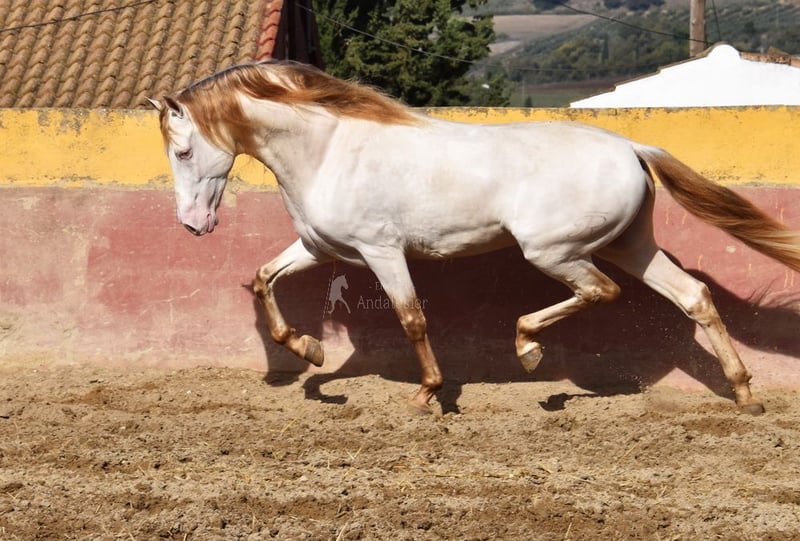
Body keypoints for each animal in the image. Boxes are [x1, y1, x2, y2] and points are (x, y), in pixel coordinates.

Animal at [150, 60, 800, 415]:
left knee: (602, 294)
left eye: (182, 151)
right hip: (630, 245)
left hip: (555, 251)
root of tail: (631, 147)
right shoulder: (321, 248)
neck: (332, 148)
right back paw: (746, 395)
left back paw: (529, 349)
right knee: (694, 297)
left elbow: (411, 318)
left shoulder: (381, 250)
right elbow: (264, 279)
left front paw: (428, 395)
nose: (192, 225)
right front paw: (309, 351)